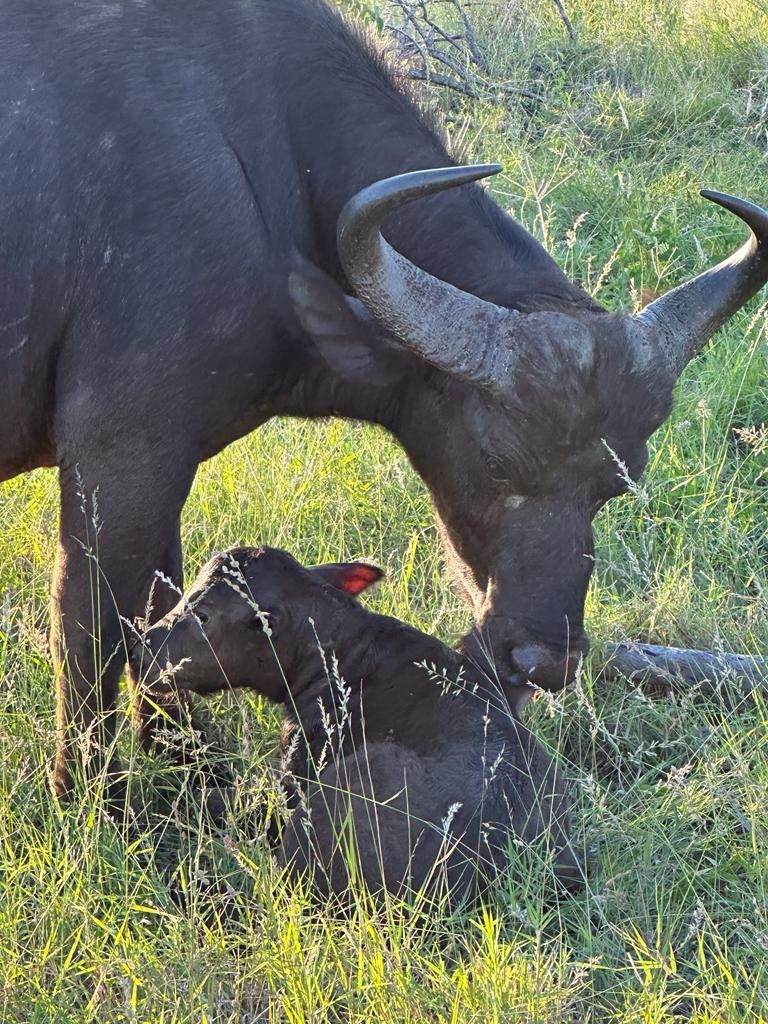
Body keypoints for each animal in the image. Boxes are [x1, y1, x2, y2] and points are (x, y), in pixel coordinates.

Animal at [0, 0, 765, 798]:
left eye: (620, 482)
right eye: (494, 463)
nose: (542, 663)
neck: (264, 169)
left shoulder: (161, 470)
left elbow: (163, 604)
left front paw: (187, 759)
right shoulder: (118, 459)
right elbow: (92, 632)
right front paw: (88, 794)